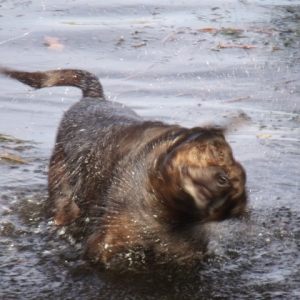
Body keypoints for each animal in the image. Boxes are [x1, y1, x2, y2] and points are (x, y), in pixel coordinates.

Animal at [1, 67, 247, 270]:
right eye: (214, 156)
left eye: (236, 194)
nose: (222, 180)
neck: (165, 213)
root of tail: (94, 97)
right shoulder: (102, 245)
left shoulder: (189, 253)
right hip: (63, 195)